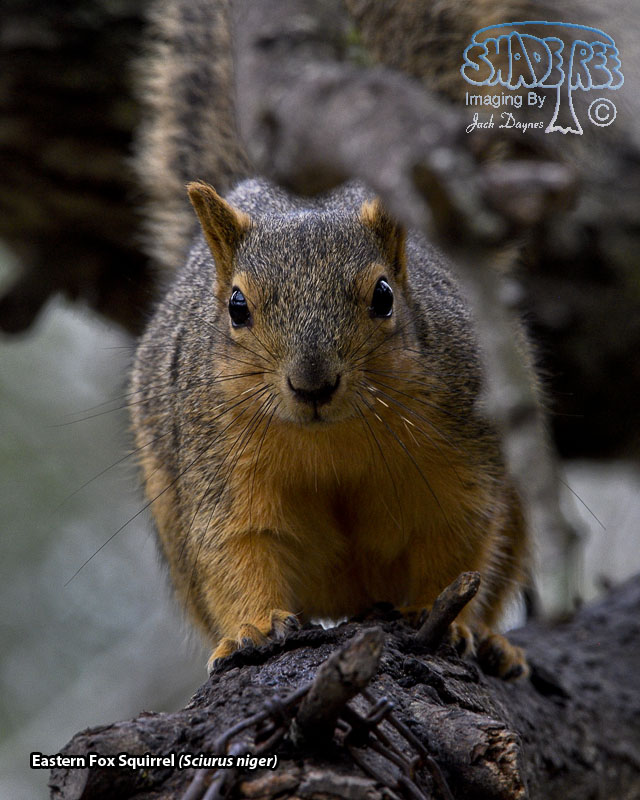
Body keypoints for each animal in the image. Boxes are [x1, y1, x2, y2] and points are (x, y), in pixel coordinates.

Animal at [131, 0, 537, 677]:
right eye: (236, 307)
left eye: (384, 297)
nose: (312, 384)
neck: (334, 443)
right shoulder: (221, 470)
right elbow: (237, 547)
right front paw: (254, 628)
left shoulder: (465, 451)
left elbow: (456, 539)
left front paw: (444, 621)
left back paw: (494, 643)